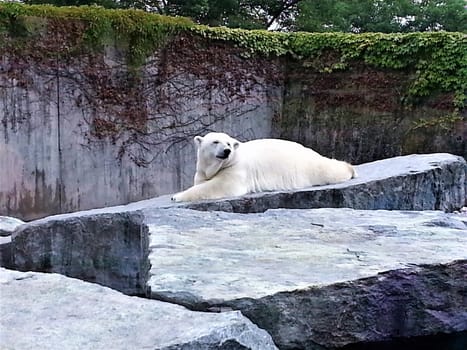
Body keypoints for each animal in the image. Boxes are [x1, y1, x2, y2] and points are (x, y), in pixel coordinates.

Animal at [172, 132, 358, 202]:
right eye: (215, 142)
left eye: (229, 143)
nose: (226, 151)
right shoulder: (202, 171)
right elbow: (203, 182)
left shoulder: (236, 169)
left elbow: (218, 186)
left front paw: (177, 196)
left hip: (307, 166)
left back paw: (349, 169)